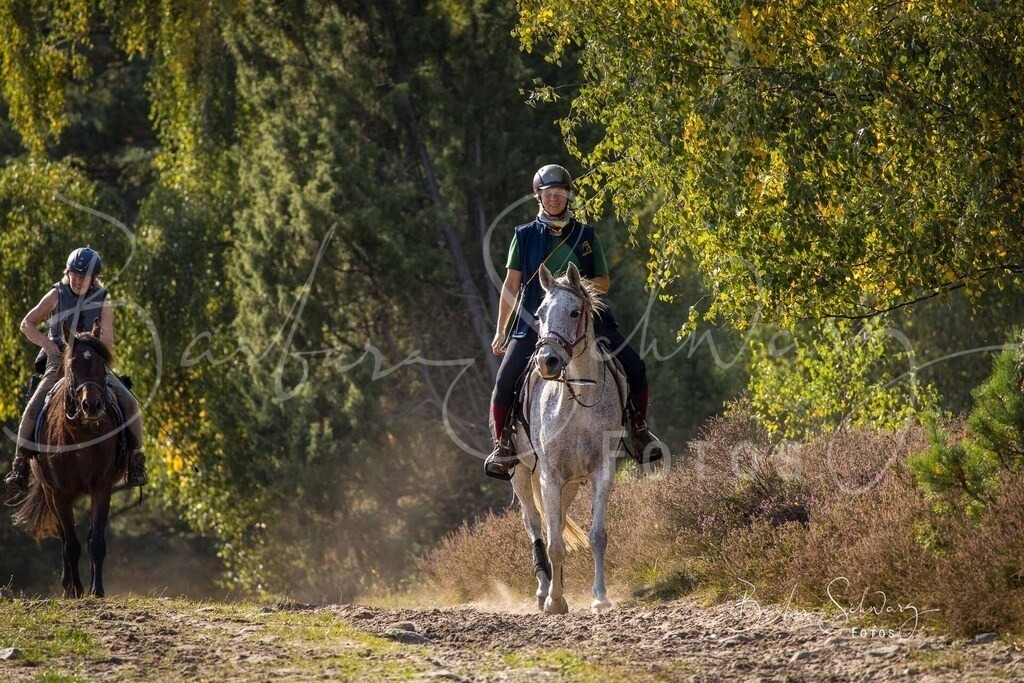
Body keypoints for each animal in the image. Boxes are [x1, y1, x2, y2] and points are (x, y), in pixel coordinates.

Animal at [13, 320, 125, 598]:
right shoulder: (60, 491)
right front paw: (74, 590)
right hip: (49, 492)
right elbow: (70, 543)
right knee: (64, 536)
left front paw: (97, 590)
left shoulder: (101, 486)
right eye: (72, 365)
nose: (92, 406)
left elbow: (96, 541)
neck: (80, 435)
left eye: (102, 364)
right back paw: (67, 585)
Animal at [510, 262, 628, 614]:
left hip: (572, 483)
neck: (578, 397)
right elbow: (554, 543)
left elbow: (596, 535)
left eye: (575, 312)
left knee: (557, 523)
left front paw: (600, 597)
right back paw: (543, 589)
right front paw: (555, 600)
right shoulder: (549, 475)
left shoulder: (601, 471)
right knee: (535, 523)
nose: (546, 361)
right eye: (539, 314)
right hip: (521, 472)